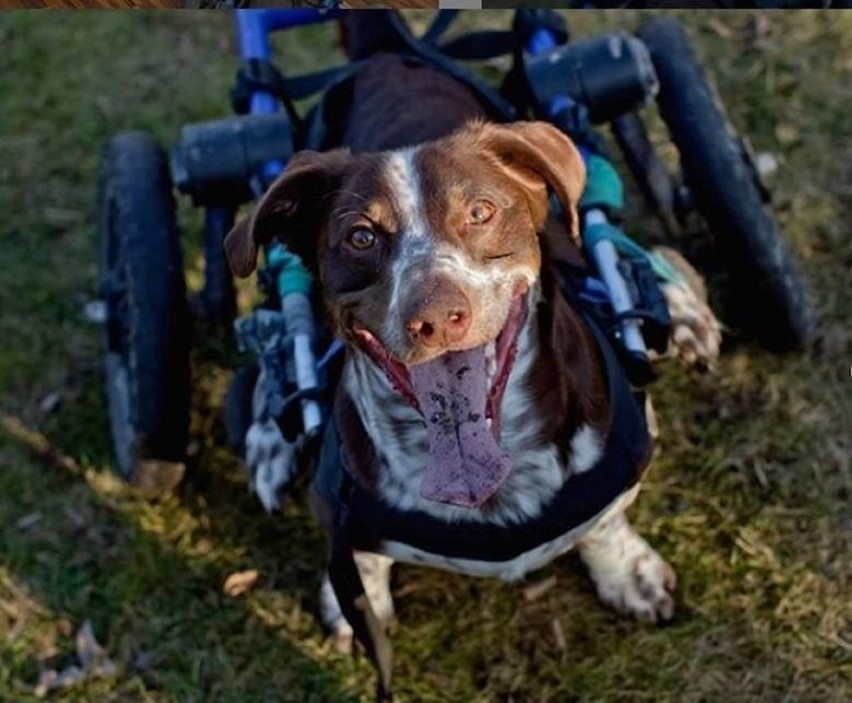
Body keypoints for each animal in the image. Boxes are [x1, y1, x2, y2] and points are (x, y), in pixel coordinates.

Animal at [223, 16, 724, 692]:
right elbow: (362, 567)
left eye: (481, 211)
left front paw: (628, 572)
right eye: (360, 236)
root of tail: (386, 50)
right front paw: (355, 608)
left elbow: (605, 521)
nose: (435, 315)